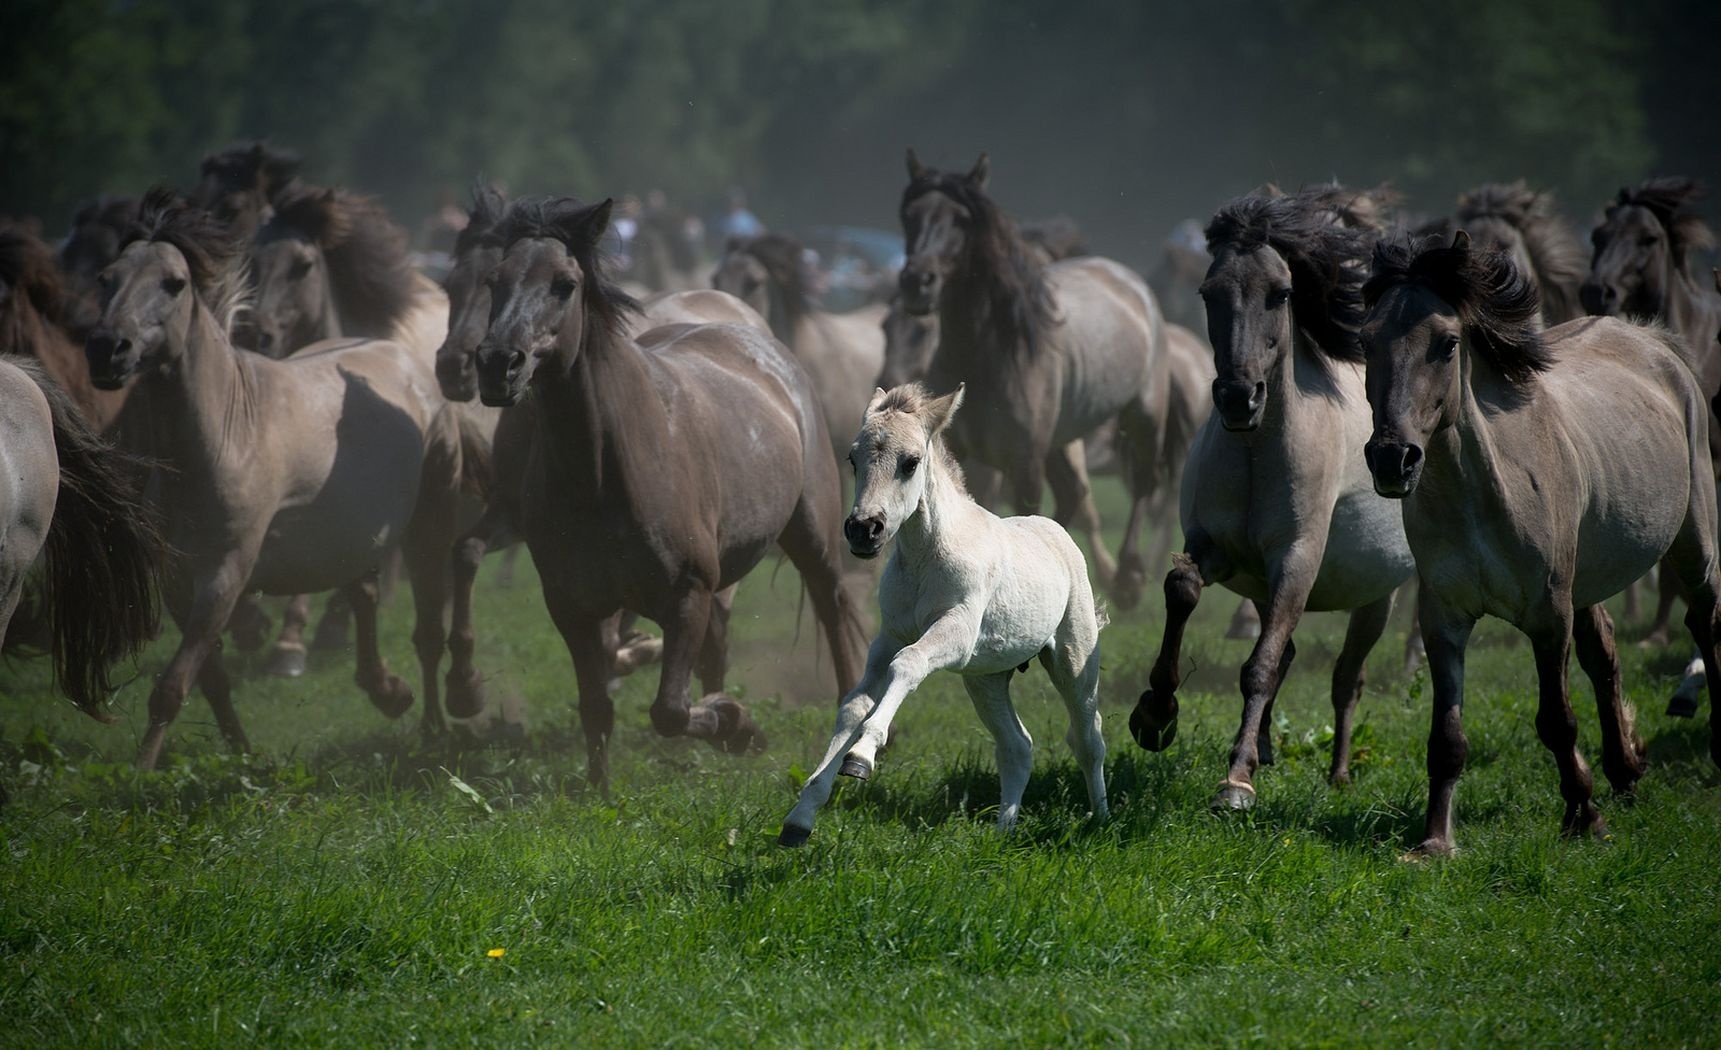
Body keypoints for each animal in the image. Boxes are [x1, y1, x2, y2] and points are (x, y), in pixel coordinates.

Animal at [91, 187, 488, 764]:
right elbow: (209, 677)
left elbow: (172, 685)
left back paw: (434, 722)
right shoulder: (177, 580)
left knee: (429, 629)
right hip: (352, 534)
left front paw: (141, 772)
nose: (106, 349)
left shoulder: (226, 572)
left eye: (174, 283)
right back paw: (388, 691)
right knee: (364, 595)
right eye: (107, 277)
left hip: (427, 527)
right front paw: (240, 751)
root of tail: (410, 364)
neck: (227, 434)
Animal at [471, 191, 867, 788]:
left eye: (565, 283)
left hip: (813, 535)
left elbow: (670, 711)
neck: (604, 472)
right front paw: (600, 788)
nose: (499, 364)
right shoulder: (572, 607)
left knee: (833, 611)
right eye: (494, 279)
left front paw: (738, 725)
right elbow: (596, 705)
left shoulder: (688, 594)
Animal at [777, 382, 1108, 843]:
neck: (924, 559)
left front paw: (861, 757)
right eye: (852, 458)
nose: (863, 530)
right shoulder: (889, 637)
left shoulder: (955, 630)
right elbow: (855, 703)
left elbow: (908, 664)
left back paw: (1102, 820)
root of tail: (1056, 532)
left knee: (1088, 738)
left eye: (910, 462)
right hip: (985, 678)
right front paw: (800, 816)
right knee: (1017, 746)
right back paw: (1004, 831)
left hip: (1074, 660)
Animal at [1363, 228, 1714, 850]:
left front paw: (1582, 815)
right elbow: (1446, 736)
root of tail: (1651, 340)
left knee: (1705, 622)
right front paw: (1434, 841)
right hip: (1589, 574)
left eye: (1446, 344)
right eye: (1364, 341)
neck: (1482, 497)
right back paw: (1625, 769)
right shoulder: (1444, 618)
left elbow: (1556, 719)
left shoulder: (1549, 615)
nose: (1391, 458)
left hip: (1693, 545)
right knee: (1605, 653)